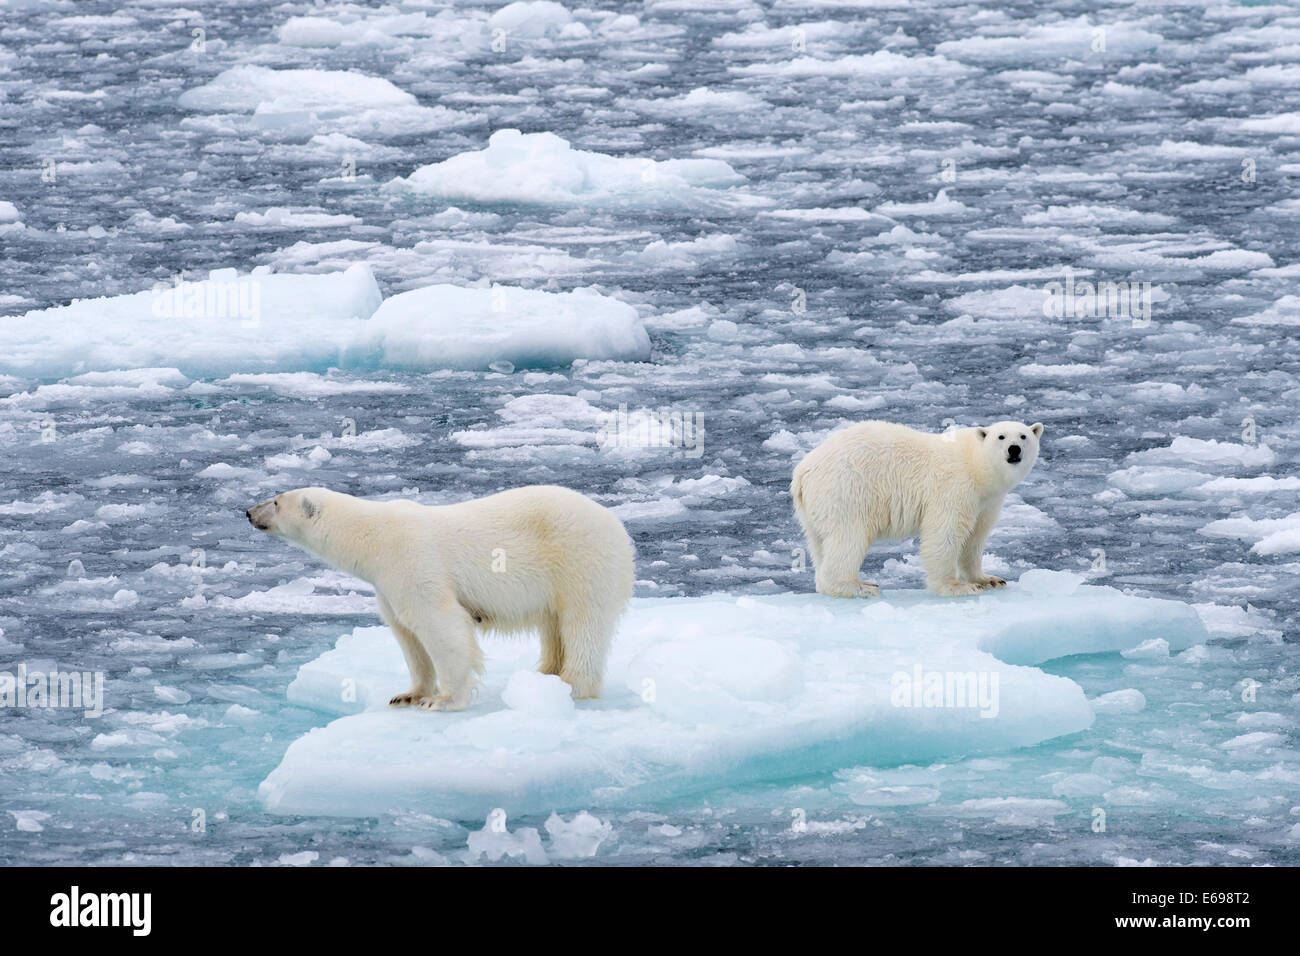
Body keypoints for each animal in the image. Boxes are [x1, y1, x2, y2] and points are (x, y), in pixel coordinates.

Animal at [245, 486, 637, 712]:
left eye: (276, 502)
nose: (248, 511)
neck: (373, 538)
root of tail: (617, 524)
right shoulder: (386, 585)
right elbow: (407, 635)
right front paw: (406, 695)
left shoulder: (412, 562)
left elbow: (440, 625)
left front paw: (443, 700)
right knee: (552, 626)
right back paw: (543, 675)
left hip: (581, 561)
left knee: (583, 624)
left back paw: (572, 685)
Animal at [785, 421, 1040, 598]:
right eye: (1001, 436)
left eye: (1024, 435)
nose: (1014, 449)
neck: (975, 465)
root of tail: (803, 471)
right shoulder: (954, 486)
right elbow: (944, 533)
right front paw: (958, 587)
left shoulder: (986, 502)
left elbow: (975, 538)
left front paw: (989, 579)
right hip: (846, 491)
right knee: (849, 537)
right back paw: (860, 586)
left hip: (816, 508)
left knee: (820, 542)